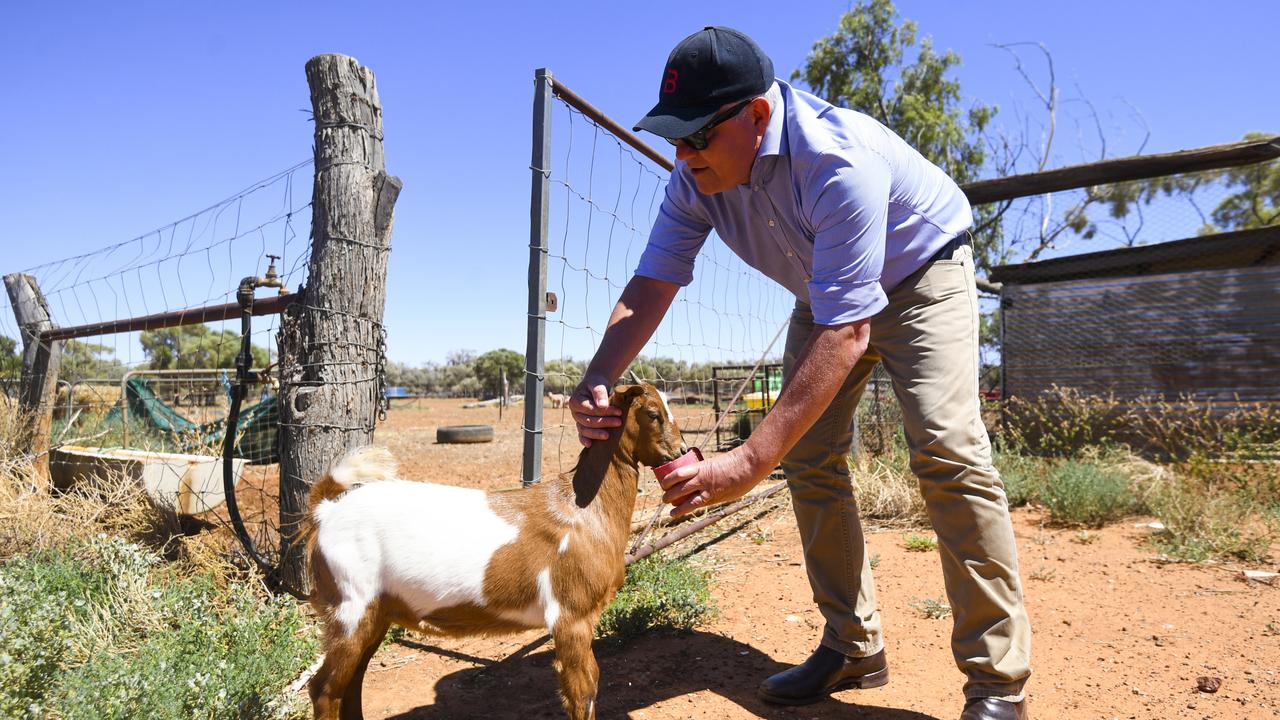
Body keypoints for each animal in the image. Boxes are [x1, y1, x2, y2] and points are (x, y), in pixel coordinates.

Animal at [300, 381, 691, 717]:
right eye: (653, 413)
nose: (683, 452)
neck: (583, 508)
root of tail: (326, 511)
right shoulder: (571, 616)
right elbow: (584, 692)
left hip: (376, 613)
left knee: (350, 684)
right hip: (351, 607)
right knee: (324, 689)